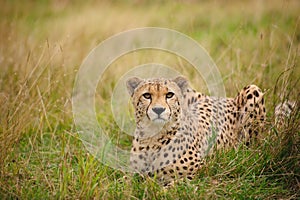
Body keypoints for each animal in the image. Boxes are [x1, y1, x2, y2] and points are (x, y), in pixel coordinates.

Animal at [125, 76, 266, 184]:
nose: (158, 109)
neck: (154, 137)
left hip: (253, 90)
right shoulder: (134, 172)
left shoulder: (200, 172)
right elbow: (124, 182)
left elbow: (173, 185)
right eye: (147, 95)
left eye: (169, 95)